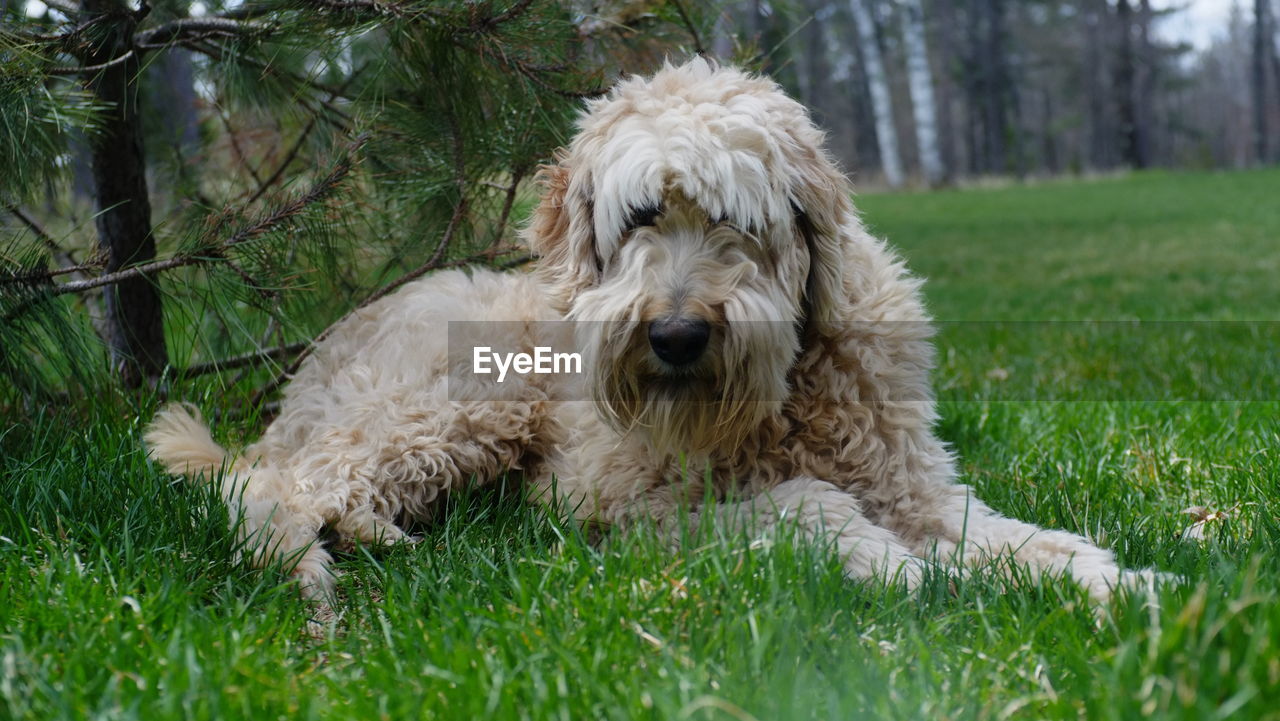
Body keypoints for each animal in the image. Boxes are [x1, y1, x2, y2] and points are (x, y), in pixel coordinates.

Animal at [147, 60, 1152, 604]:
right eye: (638, 216)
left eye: (736, 220)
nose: (675, 335)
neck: (782, 399)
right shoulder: (611, 502)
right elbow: (801, 505)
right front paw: (895, 564)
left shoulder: (912, 484)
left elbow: (1006, 535)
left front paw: (1113, 581)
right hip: (461, 401)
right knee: (269, 486)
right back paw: (321, 563)